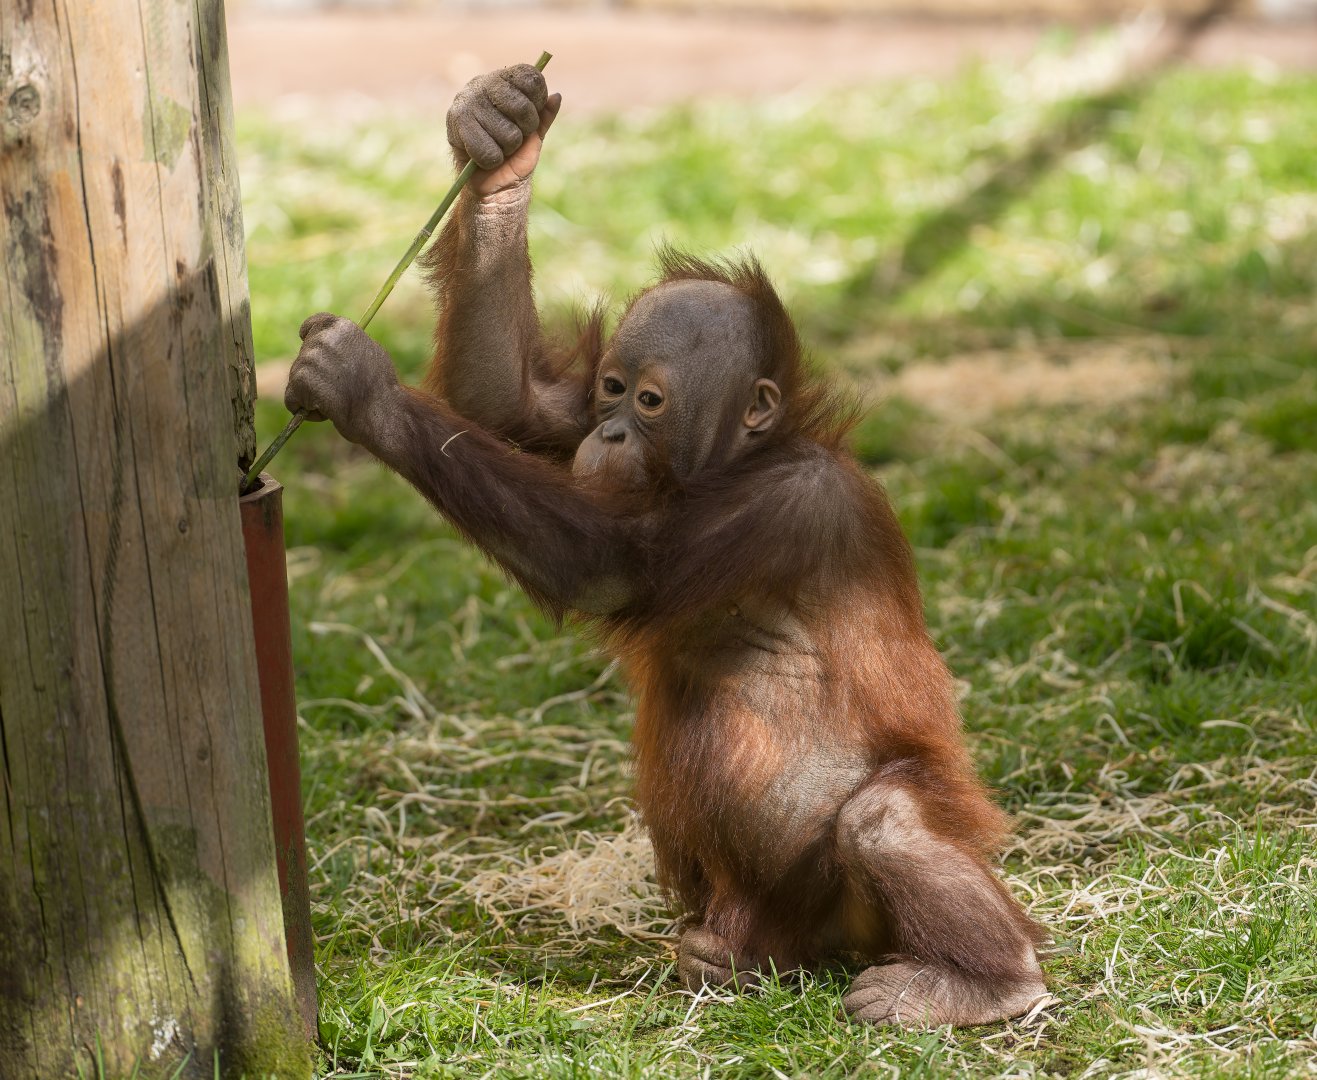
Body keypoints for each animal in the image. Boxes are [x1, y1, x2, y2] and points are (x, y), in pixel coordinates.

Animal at [284, 64, 1048, 1028]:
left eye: (650, 403)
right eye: (610, 389)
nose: (607, 436)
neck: (734, 462)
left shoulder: (787, 507)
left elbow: (614, 567)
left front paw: (360, 386)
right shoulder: (563, 419)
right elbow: (508, 400)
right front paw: (498, 134)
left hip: (873, 879)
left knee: (884, 822)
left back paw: (986, 980)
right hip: (758, 910)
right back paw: (734, 958)